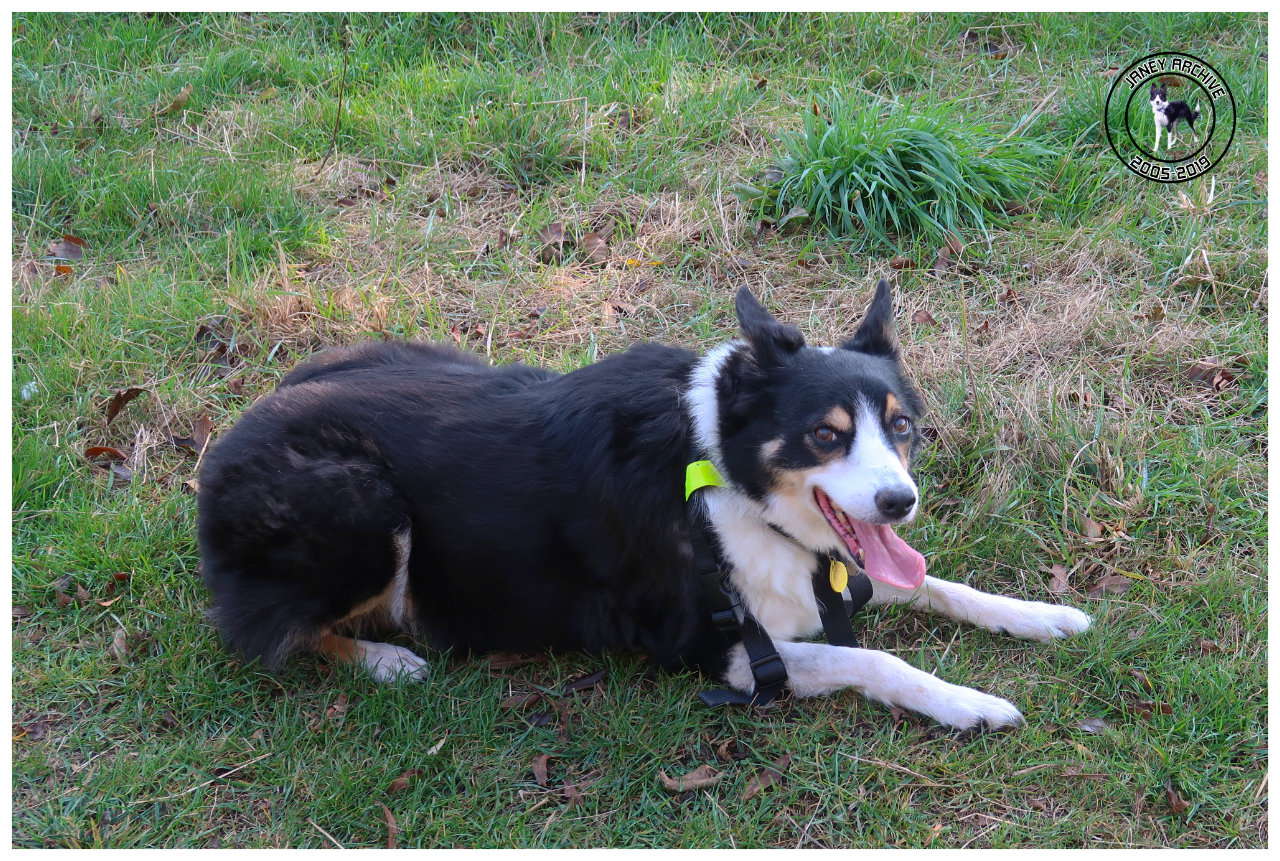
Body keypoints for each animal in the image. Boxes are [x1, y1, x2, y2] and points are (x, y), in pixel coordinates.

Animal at [199, 280, 1090, 726]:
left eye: (902, 426)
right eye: (825, 435)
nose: (899, 501)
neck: (724, 479)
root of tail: (227, 441)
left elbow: (937, 580)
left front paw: (1041, 614)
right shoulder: (719, 648)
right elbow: (874, 656)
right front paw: (970, 702)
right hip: (362, 502)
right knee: (268, 631)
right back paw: (385, 659)